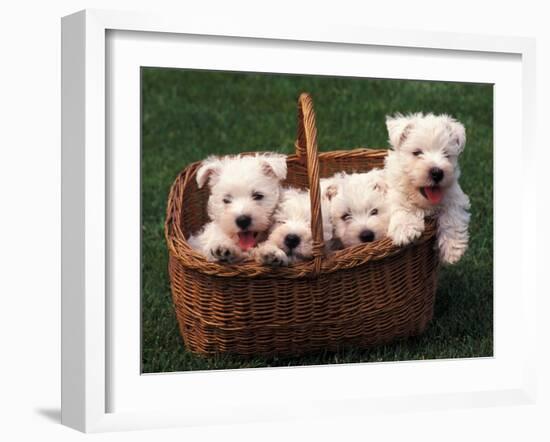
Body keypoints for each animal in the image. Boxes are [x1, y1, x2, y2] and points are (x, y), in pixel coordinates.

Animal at [386, 114, 472, 264]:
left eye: (446, 154)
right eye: (417, 152)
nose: (437, 173)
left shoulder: (454, 196)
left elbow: (452, 216)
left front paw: (452, 250)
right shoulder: (395, 191)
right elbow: (402, 205)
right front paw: (406, 230)